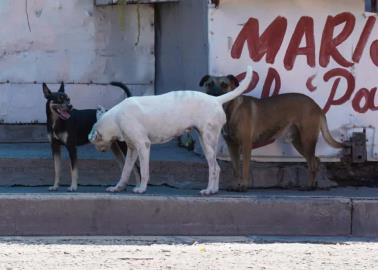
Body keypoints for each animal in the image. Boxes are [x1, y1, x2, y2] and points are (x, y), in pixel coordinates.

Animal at [89, 66, 252, 195]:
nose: (99, 150)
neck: (116, 117)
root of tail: (216, 99)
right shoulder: (132, 149)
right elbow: (126, 170)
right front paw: (118, 187)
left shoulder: (143, 146)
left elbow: (144, 171)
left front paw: (141, 188)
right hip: (205, 143)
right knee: (215, 168)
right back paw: (213, 190)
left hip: (208, 141)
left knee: (215, 168)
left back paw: (209, 191)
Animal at [201, 74, 346, 190]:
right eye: (209, 84)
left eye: (224, 85)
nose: (214, 95)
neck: (231, 110)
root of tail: (316, 106)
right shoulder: (232, 146)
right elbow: (236, 169)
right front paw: (235, 185)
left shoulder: (246, 145)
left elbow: (245, 168)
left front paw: (243, 186)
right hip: (299, 142)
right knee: (315, 160)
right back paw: (313, 184)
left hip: (307, 140)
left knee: (313, 162)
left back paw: (309, 187)